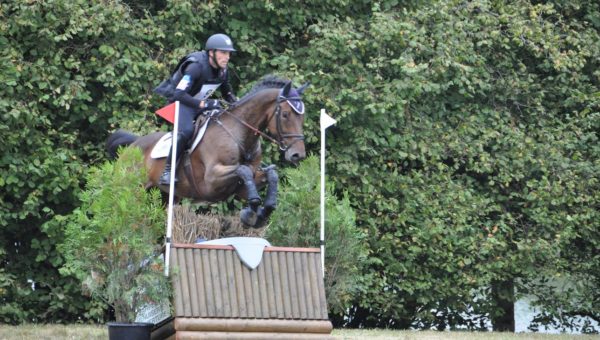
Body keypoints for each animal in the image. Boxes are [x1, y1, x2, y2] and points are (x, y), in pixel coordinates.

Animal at [105, 75, 308, 227]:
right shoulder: (211, 181)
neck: (239, 135)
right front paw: (252, 212)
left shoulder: (242, 186)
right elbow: (243, 170)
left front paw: (263, 211)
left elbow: (271, 174)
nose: (297, 155)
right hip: (133, 191)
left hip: (165, 196)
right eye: (285, 115)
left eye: (302, 116)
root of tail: (133, 144)